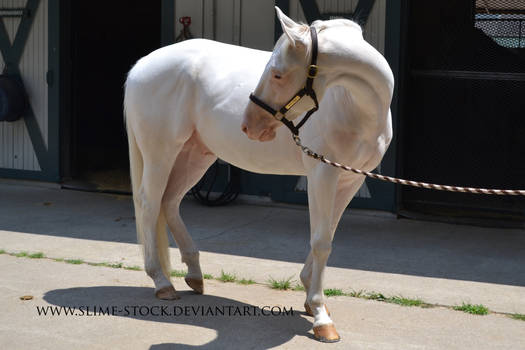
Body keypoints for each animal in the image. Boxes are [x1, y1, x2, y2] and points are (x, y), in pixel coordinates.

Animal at [124, 7, 392, 342]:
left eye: (277, 73)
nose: (249, 124)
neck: (352, 106)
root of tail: (141, 66)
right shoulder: (322, 175)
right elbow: (320, 241)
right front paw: (321, 317)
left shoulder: (351, 180)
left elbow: (327, 234)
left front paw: (310, 297)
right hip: (160, 153)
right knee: (149, 204)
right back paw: (161, 282)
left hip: (195, 155)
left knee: (169, 202)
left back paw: (194, 275)